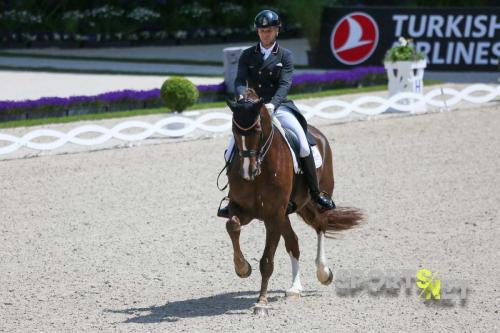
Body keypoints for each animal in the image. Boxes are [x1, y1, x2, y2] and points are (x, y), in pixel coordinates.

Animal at [225, 88, 362, 314]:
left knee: (321, 226)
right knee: (294, 242)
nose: (246, 173)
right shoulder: (244, 209)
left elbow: (267, 260)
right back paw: (295, 288)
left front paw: (261, 302)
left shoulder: (273, 215)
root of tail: (317, 133)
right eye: (234, 131)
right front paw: (242, 268)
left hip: (315, 201)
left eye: (257, 130)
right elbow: (232, 226)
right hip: (289, 212)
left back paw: (323, 272)